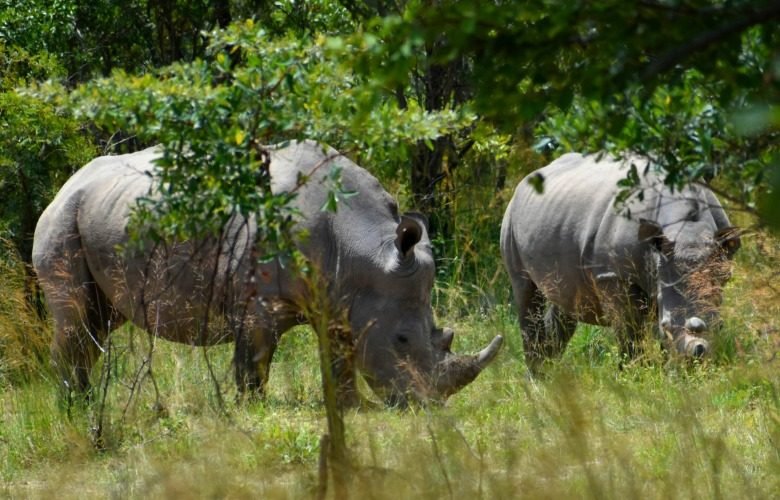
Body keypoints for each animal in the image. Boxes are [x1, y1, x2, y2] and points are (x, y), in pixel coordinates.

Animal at [32, 140, 503, 405]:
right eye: (402, 340)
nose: (427, 406)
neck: (363, 247)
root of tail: (63, 187)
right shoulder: (257, 302)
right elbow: (255, 360)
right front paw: (250, 410)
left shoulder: (341, 300)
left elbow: (340, 360)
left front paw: (352, 408)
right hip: (63, 221)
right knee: (75, 318)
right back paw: (77, 412)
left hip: (101, 215)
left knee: (99, 322)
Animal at [500, 153, 740, 371]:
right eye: (665, 327)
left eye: (720, 327)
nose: (695, 359)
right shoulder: (614, 276)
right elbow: (629, 332)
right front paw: (635, 375)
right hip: (510, 219)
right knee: (526, 292)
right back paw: (539, 379)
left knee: (565, 301)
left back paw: (550, 374)